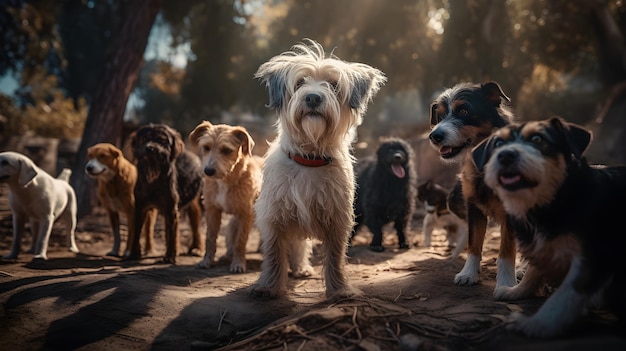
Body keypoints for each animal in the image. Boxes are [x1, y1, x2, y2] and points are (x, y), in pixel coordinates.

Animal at [188, 122, 260, 274]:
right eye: (206, 147)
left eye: (227, 150)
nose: (208, 171)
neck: (226, 180)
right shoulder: (212, 211)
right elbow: (210, 238)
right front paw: (206, 261)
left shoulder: (245, 214)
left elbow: (240, 241)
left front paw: (238, 263)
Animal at [251, 38, 382, 298]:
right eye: (300, 83)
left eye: (333, 85)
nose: (312, 97)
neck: (309, 158)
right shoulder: (274, 217)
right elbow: (274, 255)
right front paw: (269, 286)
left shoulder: (337, 220)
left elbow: (335, 257)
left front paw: (340, 289)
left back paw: (302, 269)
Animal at [472, 117, 624, 338]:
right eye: (498, 143)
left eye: (537, 139)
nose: (506, 155)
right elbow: (533, 271)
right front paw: (516, 291)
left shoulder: (594, 256)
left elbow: (565, 294)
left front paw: (539, 324)